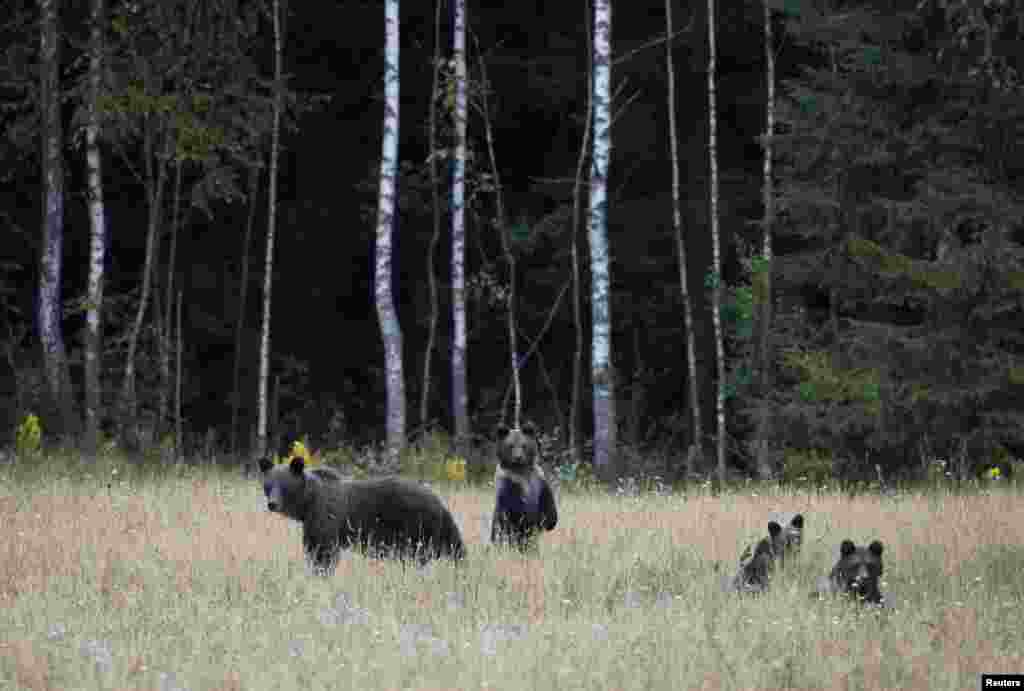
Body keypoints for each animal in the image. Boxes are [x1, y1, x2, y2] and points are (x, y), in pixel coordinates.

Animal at [258, 456, 466, 569]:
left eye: (285, 485)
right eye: (268, 484)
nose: (272, 504)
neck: (308, 503)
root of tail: (440, 503)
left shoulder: (325, 516)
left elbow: (324, 552)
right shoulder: (311, 524)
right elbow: (313, 547)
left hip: (417, 527)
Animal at [489, 421, 557, 552]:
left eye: (524, 445)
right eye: (510, 446)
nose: (518, 457)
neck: (521, 470)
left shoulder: (538, 480)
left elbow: (548, 504)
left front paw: (548, 521)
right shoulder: (509, 483)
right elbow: (516, 509)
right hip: (501, 532)